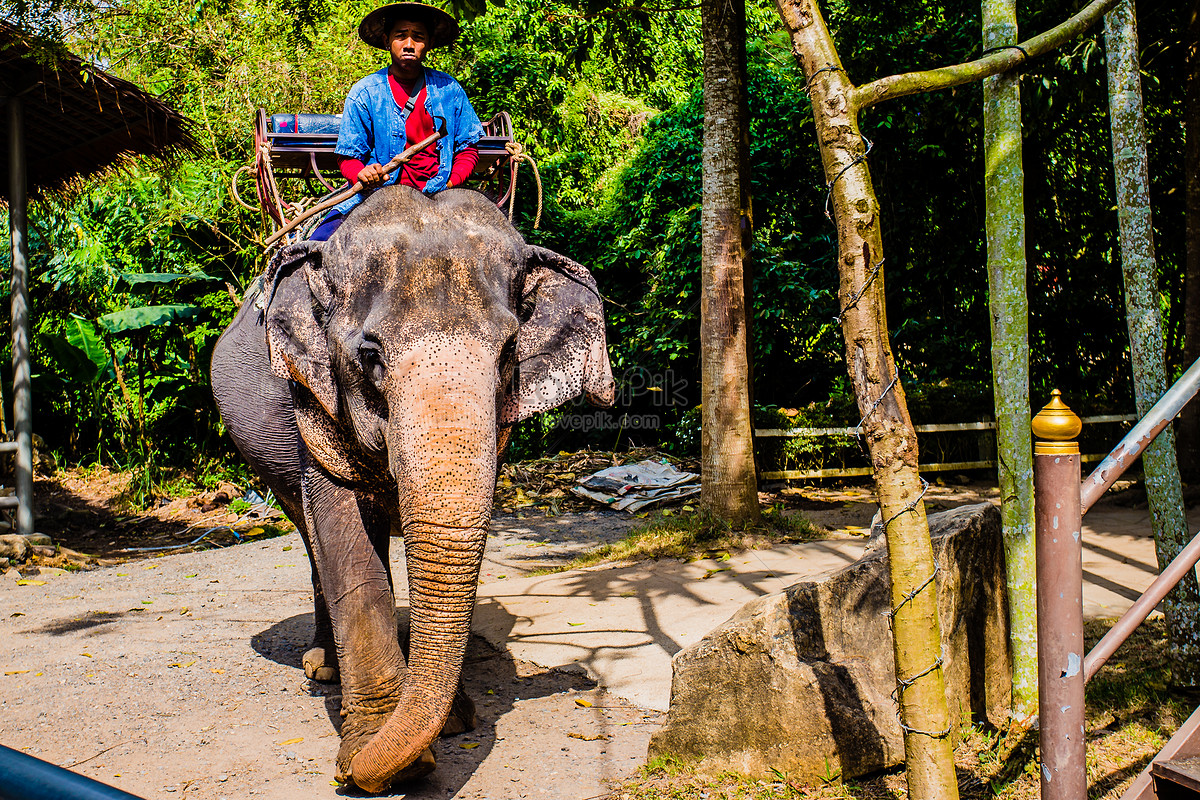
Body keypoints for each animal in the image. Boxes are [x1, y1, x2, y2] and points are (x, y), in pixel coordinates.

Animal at [207, 188, 614, 796]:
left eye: (507, 354)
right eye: (370, 355)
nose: (348, 775)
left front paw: (453, 724)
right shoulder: (314, 408)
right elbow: (349, 552)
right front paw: (377, 755)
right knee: (309, 539)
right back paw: (323, 666)